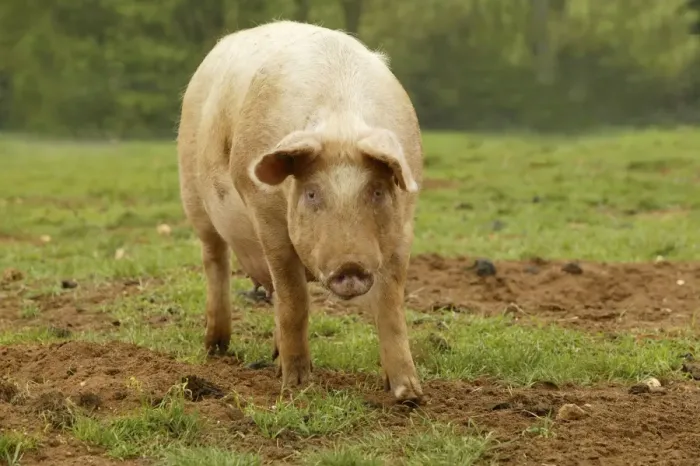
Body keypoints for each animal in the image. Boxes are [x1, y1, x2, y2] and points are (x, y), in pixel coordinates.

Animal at [177, 20, 424, 403]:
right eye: (311, 193)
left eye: (377, 191)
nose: (350, 266)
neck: (341, 121)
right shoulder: (268, 219)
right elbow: (295, 300)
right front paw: (297, 387)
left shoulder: (403, 229)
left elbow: (390, 304)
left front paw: (408, 394)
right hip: (193, 195)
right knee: (215, 260)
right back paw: (216, 348)